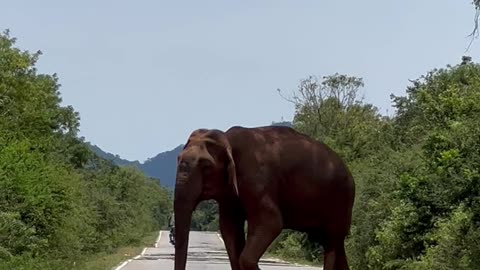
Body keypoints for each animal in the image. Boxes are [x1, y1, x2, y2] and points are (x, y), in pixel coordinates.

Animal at [172, 125, 352, 270]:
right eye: (178, 159)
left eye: (206, 166)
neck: (228, 139)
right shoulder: (230, 193)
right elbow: (229, 228)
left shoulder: (257, 179)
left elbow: (271, 222)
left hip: (340, 200)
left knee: (332, 242)